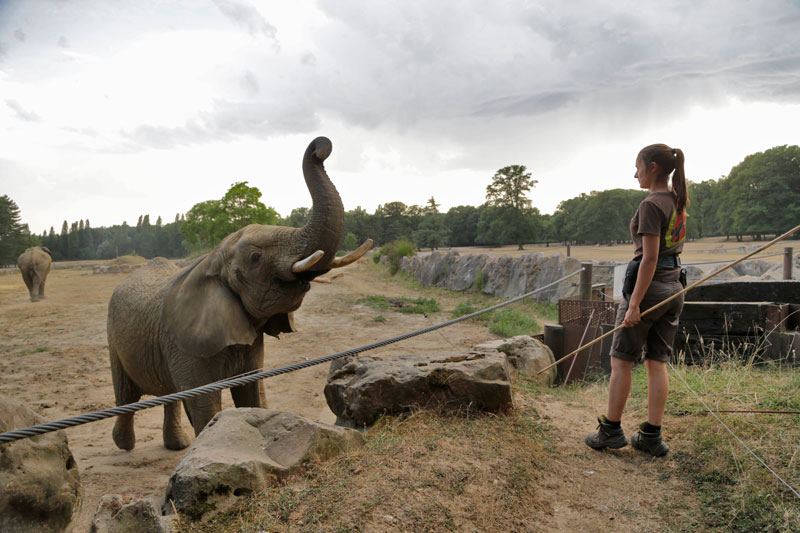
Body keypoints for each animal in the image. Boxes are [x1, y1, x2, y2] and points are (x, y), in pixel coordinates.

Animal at [104, 137, 376, 448]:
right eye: (256, 258)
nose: (322, 147)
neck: (211, 260)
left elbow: (252, 389)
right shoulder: (185, 341)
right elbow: (204, 401)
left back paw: (177, 445)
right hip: (114, 336)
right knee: (125, 392)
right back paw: (125, 444)